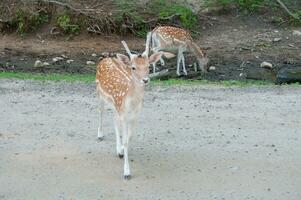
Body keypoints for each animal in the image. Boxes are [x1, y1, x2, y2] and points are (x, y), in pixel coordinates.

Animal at [95, 33, 175, 180]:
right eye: (133, 67)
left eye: (148, 66)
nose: (145, 80)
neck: (131, 104)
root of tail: (106, 58)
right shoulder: (124, 115)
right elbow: (126, 140)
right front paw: (126, 172)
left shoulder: (134, 116)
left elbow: (129, 138)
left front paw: (121, 151)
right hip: (99, 92)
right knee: (101, 111)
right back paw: (100, 135)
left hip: (115, 106)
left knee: (114, 120)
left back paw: (118, 150)